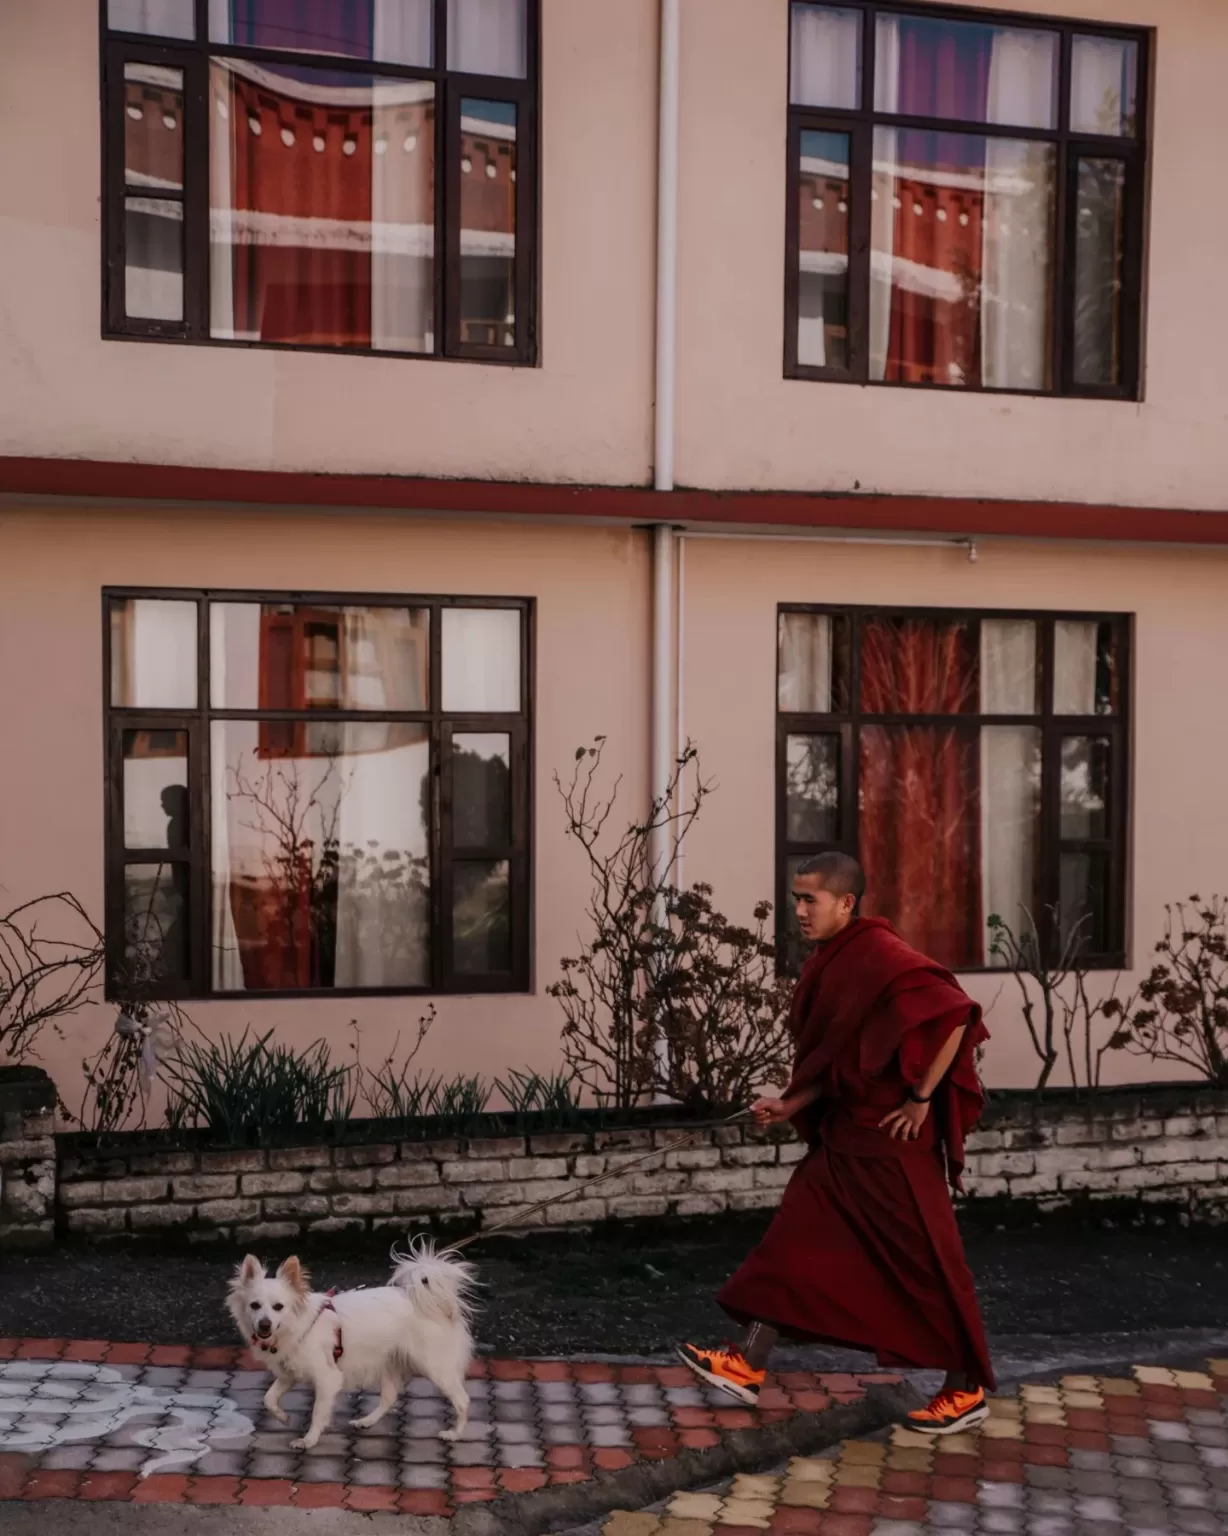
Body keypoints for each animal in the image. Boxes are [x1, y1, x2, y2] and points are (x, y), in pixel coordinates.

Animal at [227, 1234, 476, 1449]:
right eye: (254, 1306)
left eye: (278, 1307)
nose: (264, 1325)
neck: (298, 1325)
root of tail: (434, 1303)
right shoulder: (290, 1374)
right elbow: (268, 1398)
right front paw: (283, 1418)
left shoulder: (327, 1379)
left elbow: (318, 1412)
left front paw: (309, 1440)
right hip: (389, 1362)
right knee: (390, 1396)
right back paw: (366, 1421)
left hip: (436, 1368)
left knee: (462, 1400)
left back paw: (455, 1434)